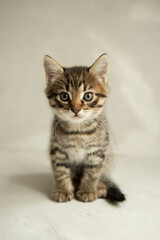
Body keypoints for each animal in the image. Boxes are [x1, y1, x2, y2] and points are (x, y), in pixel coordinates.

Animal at [43, 54, 125, 202]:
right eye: (64, 96)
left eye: (88, 96)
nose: (75, 109)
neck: (78, 132)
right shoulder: (57, 149)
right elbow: (60, 171)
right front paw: (63, 190)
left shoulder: (97, 151)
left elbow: (92, 173)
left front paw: (87, 190)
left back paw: (100, 187)